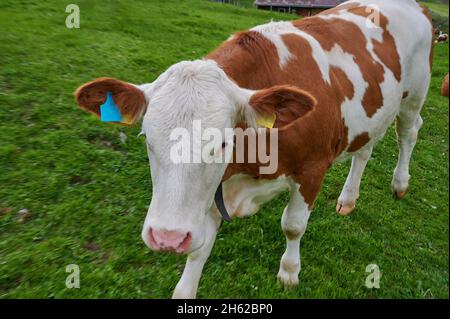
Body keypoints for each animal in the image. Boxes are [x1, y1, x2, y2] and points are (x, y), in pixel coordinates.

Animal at [75, 0, 434, 300]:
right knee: (364, 150)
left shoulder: (312, 168)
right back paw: (348, 198)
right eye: (147, 137)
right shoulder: (213, 189)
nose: (167, 238)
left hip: (414, 95)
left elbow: (293, 225)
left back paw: (400, 183)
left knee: (409, 133)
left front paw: (289, 272)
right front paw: (185, 288)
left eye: (222, 143)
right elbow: (199, 248)